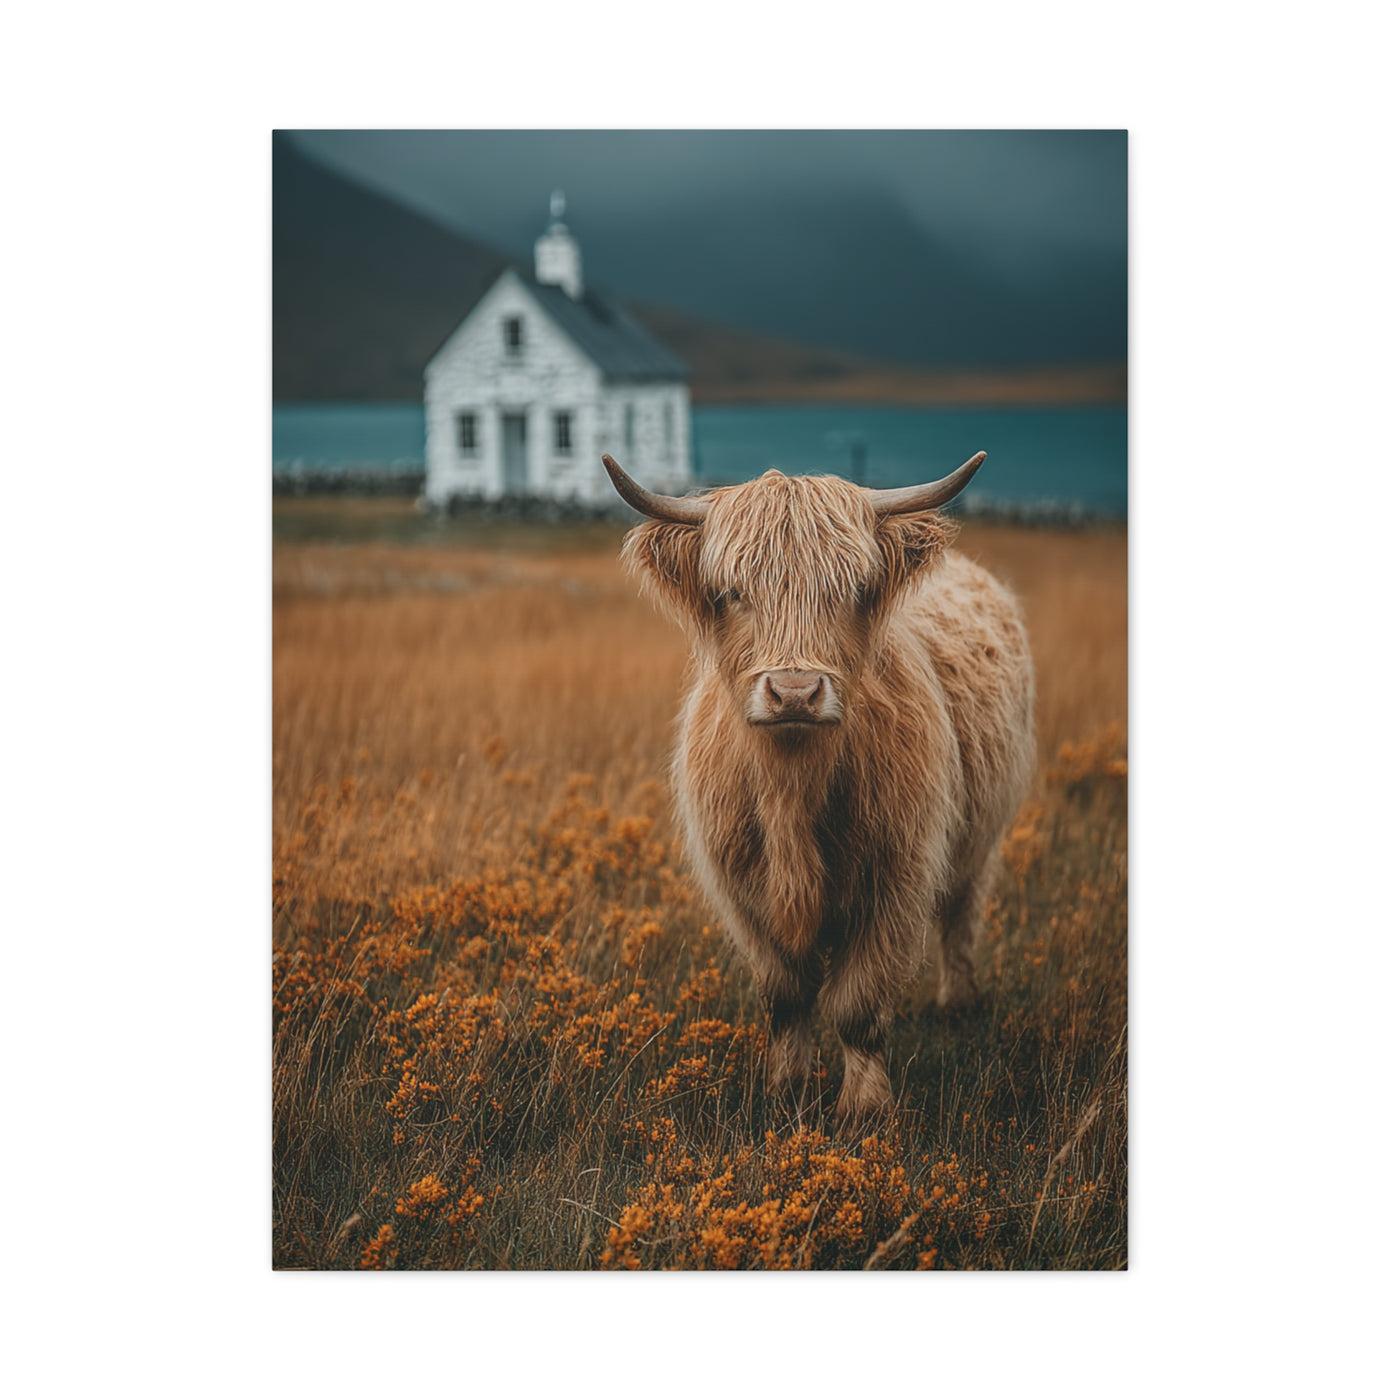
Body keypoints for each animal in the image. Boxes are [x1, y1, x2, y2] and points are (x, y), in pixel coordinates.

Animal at [603, 452, 1035, 1124]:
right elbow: (786, 995)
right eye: (732, 592)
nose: (795, 693)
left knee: (961, 913)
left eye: (853, 591)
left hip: (979, 838)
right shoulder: (742, 891)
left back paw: (958, 1003)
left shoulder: (896, 880)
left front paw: (863, 1110)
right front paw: (787, 1091)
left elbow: (858, 1006)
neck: (793, 792)